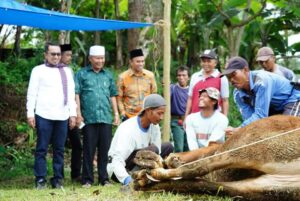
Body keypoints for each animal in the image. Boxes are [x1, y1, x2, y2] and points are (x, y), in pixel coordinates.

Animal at [132, 115, 300, 200]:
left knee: (196, 169)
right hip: (273, 186)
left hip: (253, 149)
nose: (173, 157)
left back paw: (149, 172)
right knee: (203, 184)